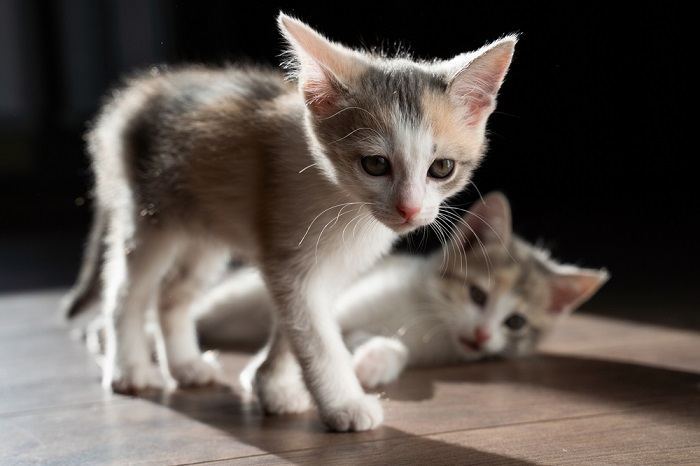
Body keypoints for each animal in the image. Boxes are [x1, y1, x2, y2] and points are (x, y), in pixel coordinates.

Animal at [63, 12, 516, 432]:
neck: (344, 202)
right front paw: (343, 404)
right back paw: (130, 369)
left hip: (204, 232)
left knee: (172, 292)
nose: (409, 209)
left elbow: (294, 324)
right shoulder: (290, 258)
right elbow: (316, 336)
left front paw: (273, 385)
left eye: (441, 168)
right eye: (374, 164)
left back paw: (186, 365)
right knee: (126, 292)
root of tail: (140, 92)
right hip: (150, 217)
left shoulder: (322, 267)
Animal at [196, 191, 608, 388]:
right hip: (236, 298)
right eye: (477, 295)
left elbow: (376, 344)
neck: (430, 319)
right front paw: (263, 373)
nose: (481, 335)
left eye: (516, 323)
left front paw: (373, 364)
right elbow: (299, 331)